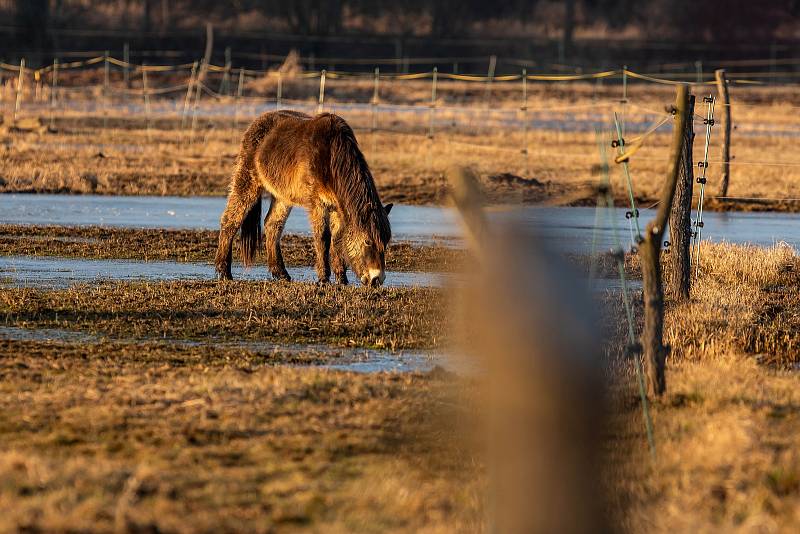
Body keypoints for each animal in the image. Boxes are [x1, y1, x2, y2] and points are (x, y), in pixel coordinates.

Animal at [214, 110, 392, 288]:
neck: (331, 156)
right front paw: (323, 278)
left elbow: (337, 239)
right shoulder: (318, 204)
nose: (377, 279)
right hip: (247, 182)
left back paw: (281, 273)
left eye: (385, 242)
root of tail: (257, 123)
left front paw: (342, 279)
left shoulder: (337, 207)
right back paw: (224, 272)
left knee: (273, 225)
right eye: (368, 241)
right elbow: (323, 238)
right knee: (231, 221)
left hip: (282, 198)